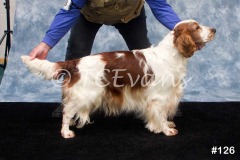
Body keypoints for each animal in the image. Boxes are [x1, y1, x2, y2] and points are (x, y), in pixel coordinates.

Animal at [21, 19, 216, 138]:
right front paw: (166, 130)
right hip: (85, 94)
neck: (171, 54)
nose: (214, 29)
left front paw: (165, 125)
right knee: (67, 113)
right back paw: (66, 132)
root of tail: (76, 62)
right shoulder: (159, 96)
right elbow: (160, 113)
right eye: (197, 27)